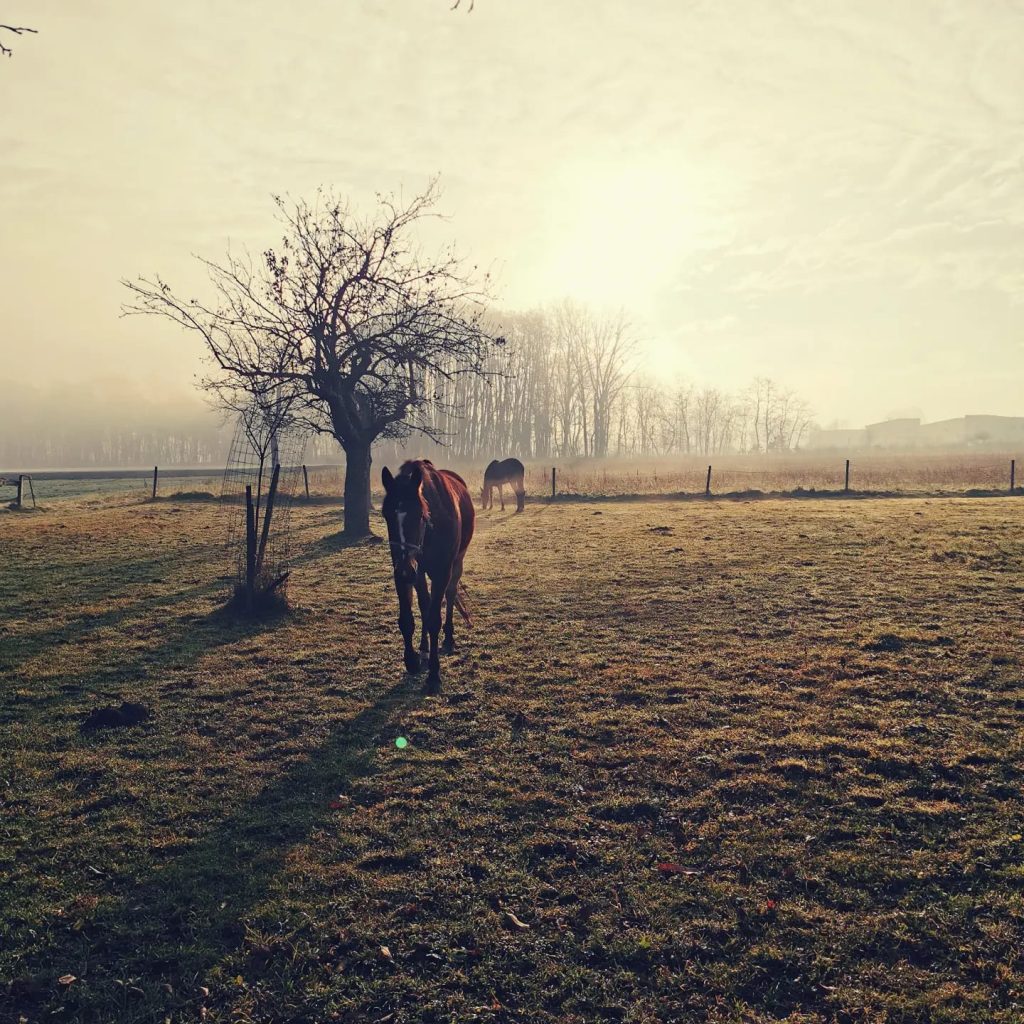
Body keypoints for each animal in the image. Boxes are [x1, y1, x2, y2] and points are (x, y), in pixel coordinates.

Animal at [381, 459, 475, 694]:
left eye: (420, 515)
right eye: (386, 515)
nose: (406, 571)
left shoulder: (441, 572)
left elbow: (434, 619)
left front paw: (433, 675)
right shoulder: (404, 572)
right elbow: (408, 618)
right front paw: (412, 660)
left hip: (456, 564)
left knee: (449, 596)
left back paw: (449, 638)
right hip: (418, 572)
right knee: (425, 604)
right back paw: (423, 648)